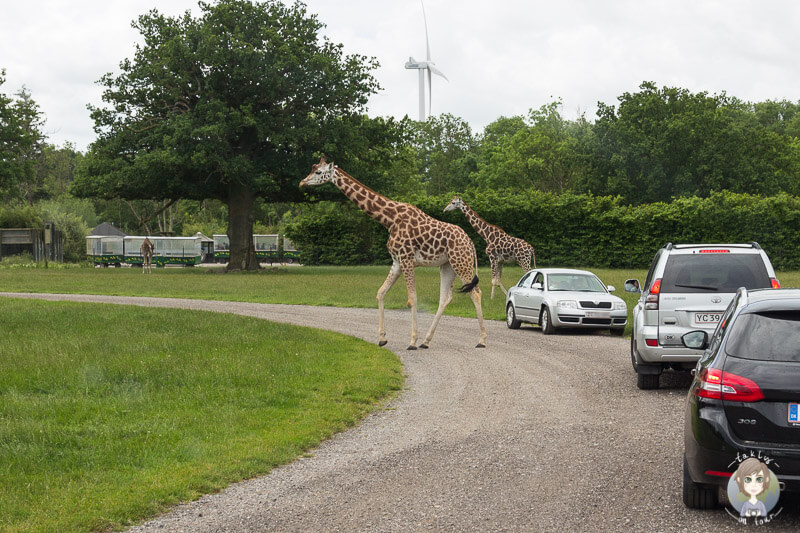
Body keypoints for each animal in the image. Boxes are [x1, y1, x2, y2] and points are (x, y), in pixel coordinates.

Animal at [300, 157, 488, 350]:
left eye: (318, 172)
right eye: (312, 168)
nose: (302, 182)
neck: (389, 220)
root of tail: (471, 243)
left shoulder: (407, 259)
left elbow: (412, 299)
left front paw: (412, 341)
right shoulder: (397, 261)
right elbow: (380, 293)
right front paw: (382, 338)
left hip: (461, 263)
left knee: (476, 292)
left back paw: (481, 340)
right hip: (447, 265)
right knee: (445, 297)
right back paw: (426, 341)